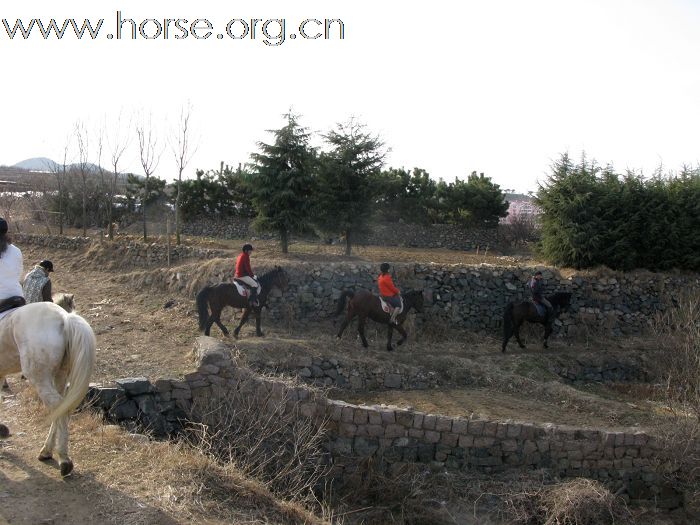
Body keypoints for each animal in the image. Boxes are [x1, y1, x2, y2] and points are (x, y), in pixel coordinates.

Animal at [0, 298, 95, 474]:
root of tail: (64, 318)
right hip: (60, 375)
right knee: (61, 407)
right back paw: (47, 451)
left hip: (40, 378)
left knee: (58, 406)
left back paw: (64, 459)